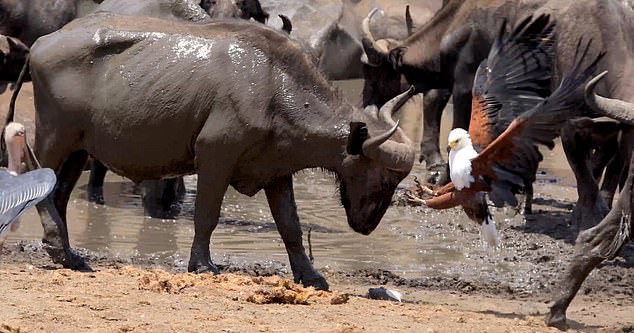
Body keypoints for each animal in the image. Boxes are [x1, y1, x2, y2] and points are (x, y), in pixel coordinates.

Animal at [19, 12, 414, 288]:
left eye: (396, 182)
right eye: (382, 178)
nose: (367, 225)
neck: (275, 85)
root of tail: (41, 42)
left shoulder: (277, 171)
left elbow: (290, 225)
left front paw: (310, 275)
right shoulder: (215, 156)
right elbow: (206, 215)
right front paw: (203, 264)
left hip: (79, 149)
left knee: (60, 193)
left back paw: (68, 254)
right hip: (56, 136)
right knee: (37, 179)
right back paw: (57, 246)